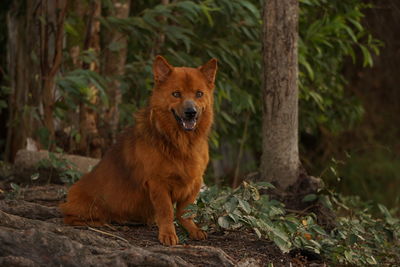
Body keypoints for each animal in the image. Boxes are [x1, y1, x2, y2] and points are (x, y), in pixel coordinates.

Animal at [58, 56, 219, 247]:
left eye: (199, 94)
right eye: (176, 94)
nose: (191, 113)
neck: (181, 142)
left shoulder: (195, 181)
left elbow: (185, 211)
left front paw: (192, 229)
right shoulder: (158, 183)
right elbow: (166, 211)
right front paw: (167, 233)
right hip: (88, 205)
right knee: (70, 216)